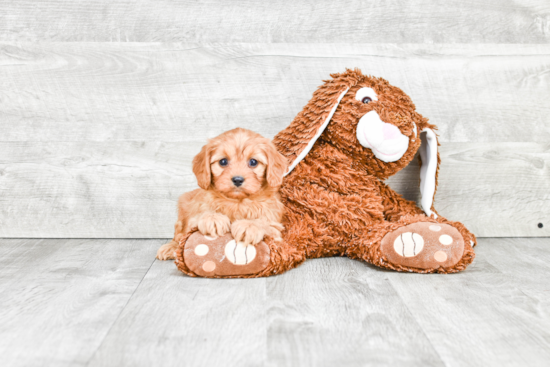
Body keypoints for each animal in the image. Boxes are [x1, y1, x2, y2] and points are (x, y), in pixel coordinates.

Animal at [156, 129, 288, 262]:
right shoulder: (194, 217)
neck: (237, 202)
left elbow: (265, 223)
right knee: (179, 235)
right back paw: (170, 248)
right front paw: (213, 218)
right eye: (223, 161)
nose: (238, 180)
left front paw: (249, 225)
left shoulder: (275, 226)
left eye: (253, 162)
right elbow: (199, 217)